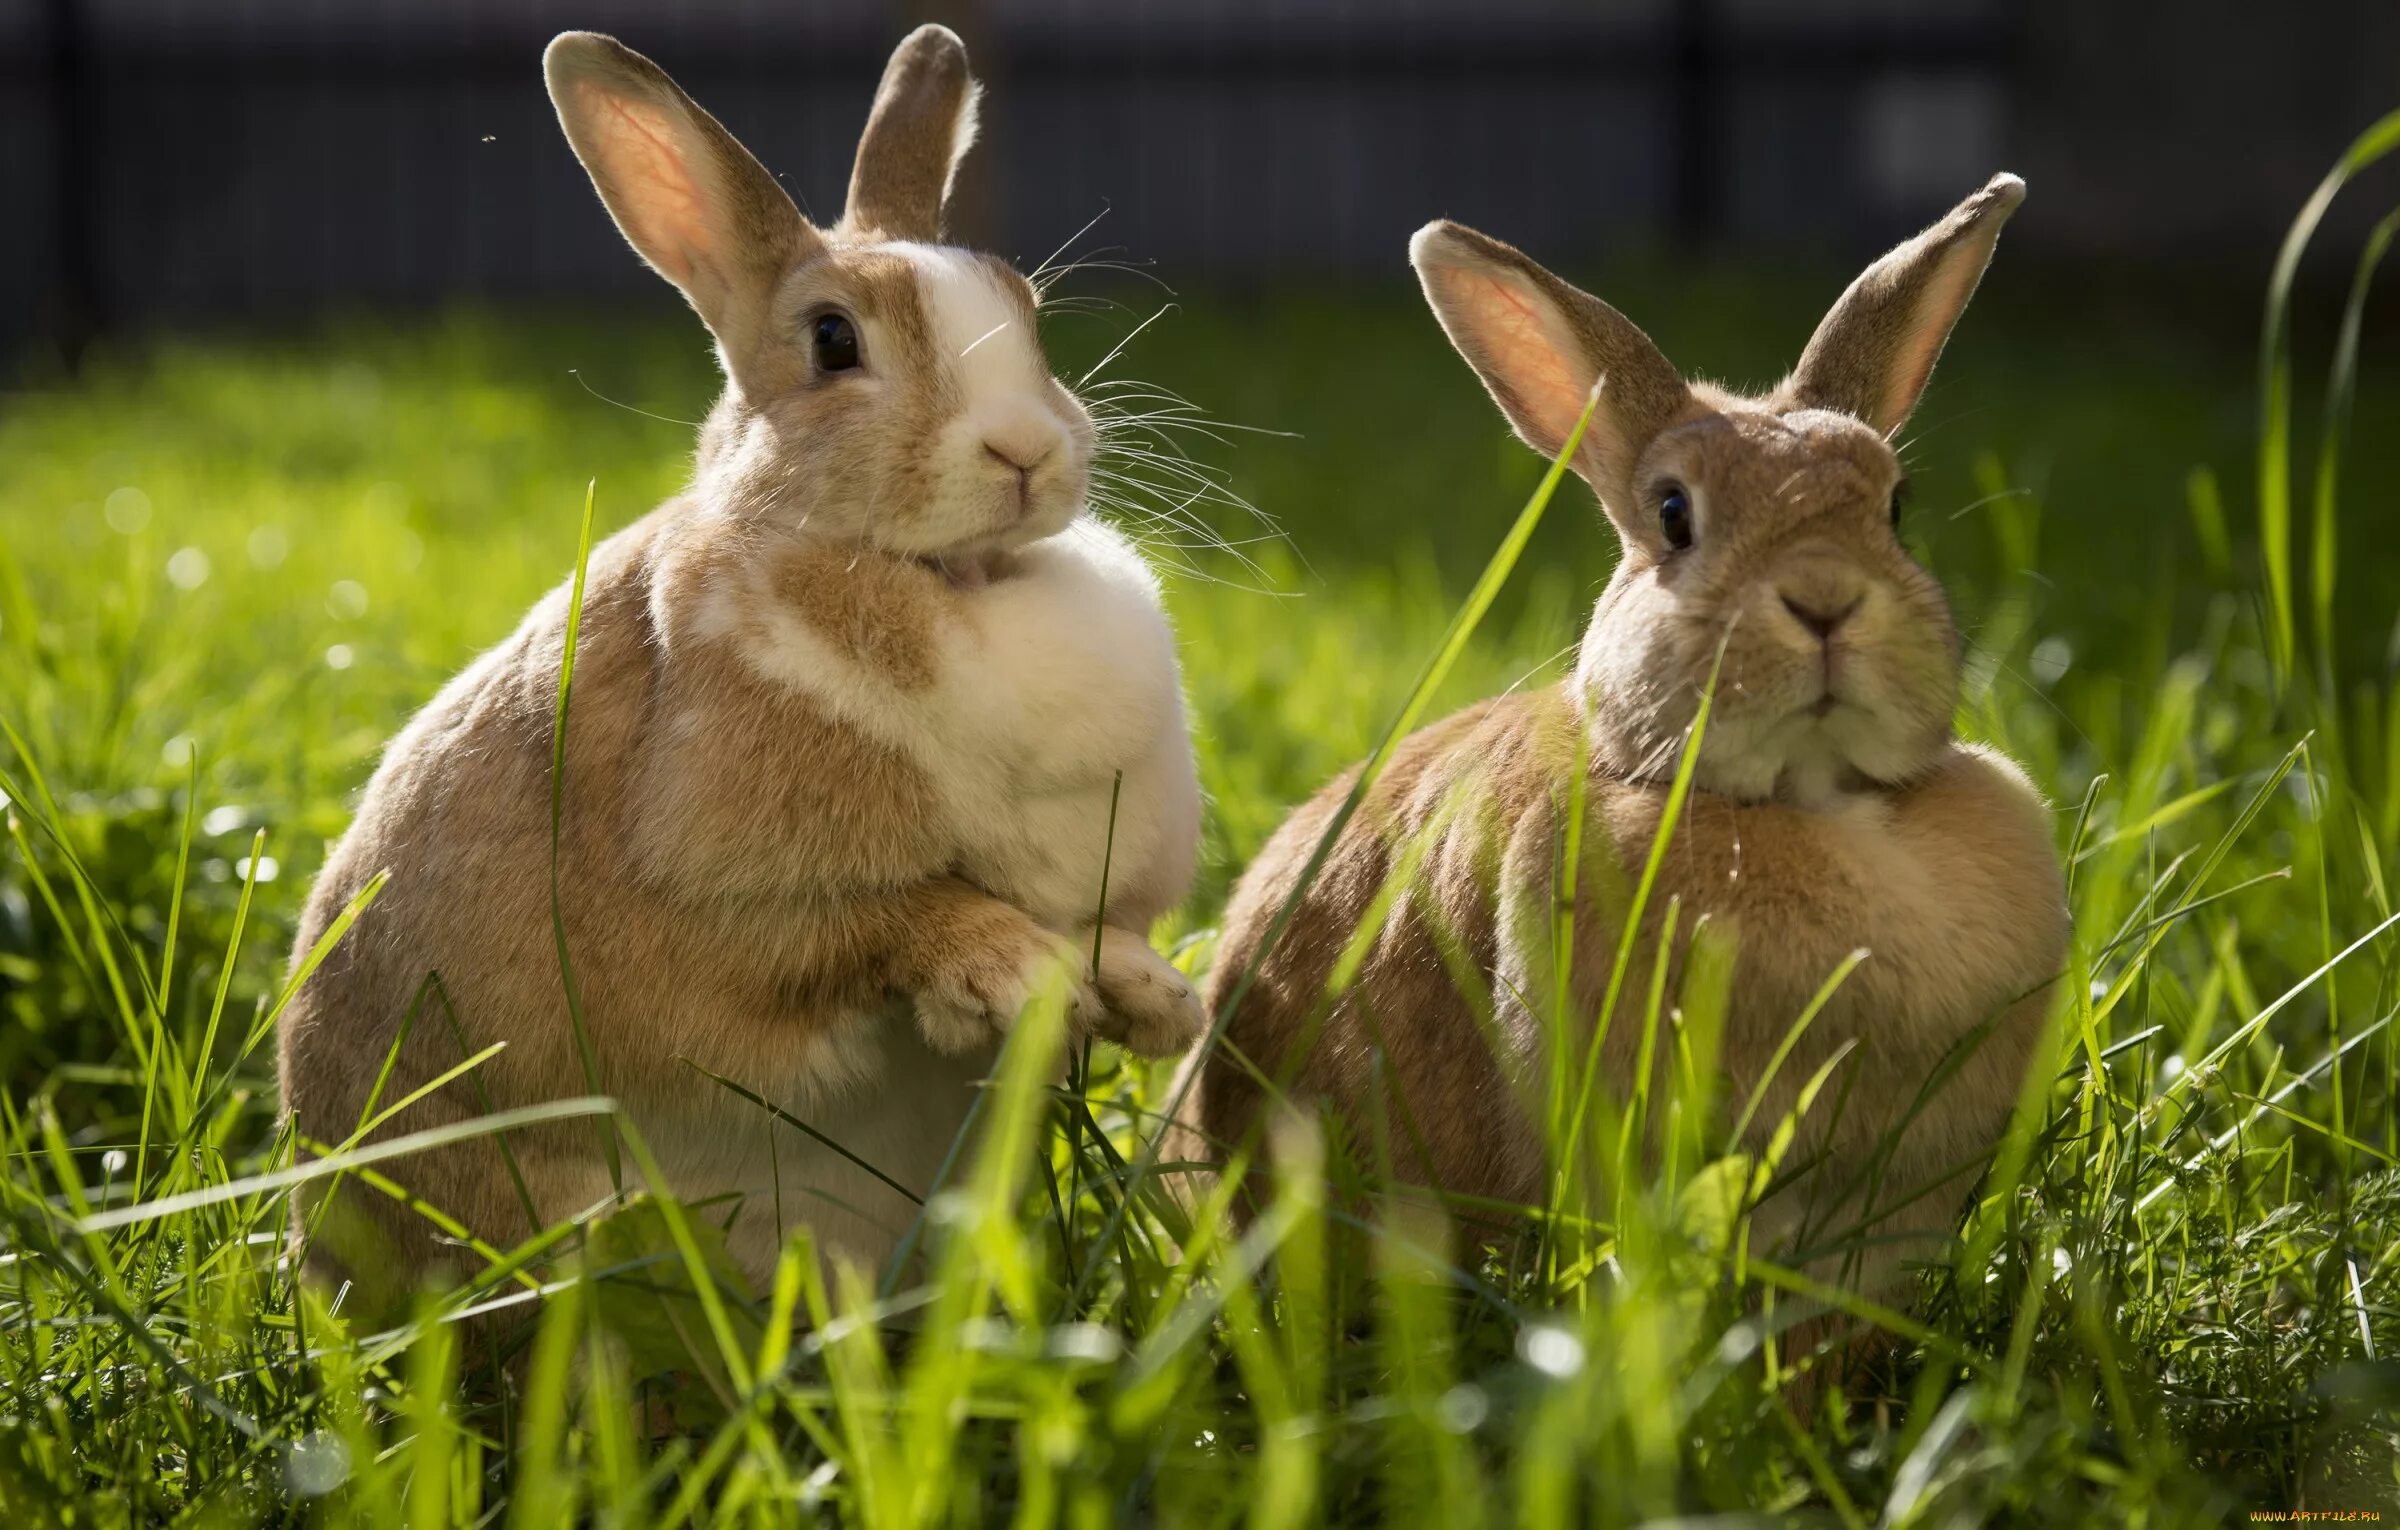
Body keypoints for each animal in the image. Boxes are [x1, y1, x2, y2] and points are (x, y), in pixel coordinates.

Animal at [276, 23, 1200, 1314]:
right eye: (832, 341)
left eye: (1029, 313)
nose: (1025, 450)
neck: (947, 584)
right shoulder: (733, 895)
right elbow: (886, 919)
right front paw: (1017, 975)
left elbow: (1105, 931)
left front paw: (1161, 1004)